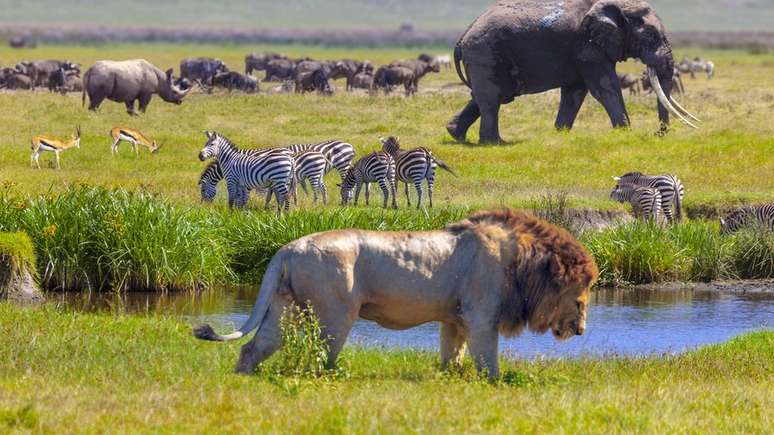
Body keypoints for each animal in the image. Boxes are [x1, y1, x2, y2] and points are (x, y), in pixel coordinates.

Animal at [196, 209, 600, 378]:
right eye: (581, 296)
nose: (581, 330)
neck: (523, 261)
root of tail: (288, 247)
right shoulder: (482, 315)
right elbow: (488, 359)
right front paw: (495, 383)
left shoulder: (455, 319)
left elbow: (452, 354)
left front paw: (450, 378)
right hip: (334, 313)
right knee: (320, 356)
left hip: (285, 308)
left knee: (254, 346)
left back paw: (244, 377)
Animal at [446, 0, 700, 144]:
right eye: (650, 36)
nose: (659, 134)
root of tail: (461, 38)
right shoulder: (587, 46)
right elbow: (605, 87)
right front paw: (624, 132)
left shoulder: (582, 52)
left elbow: (575, 92)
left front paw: (560, 134)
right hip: (484, 52)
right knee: (491, 99)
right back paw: (494, 143)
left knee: (489, 96)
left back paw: (456, 135)